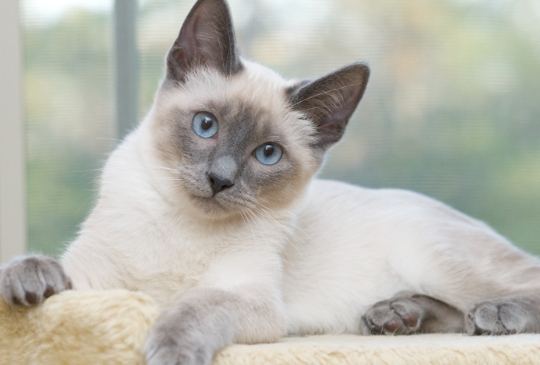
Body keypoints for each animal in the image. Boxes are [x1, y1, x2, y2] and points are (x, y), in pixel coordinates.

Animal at [1, 0, 540, 362]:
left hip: (433, 258)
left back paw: (492, 316)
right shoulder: (97, 284)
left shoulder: (252, 301)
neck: (184, 227)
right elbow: (53, 271)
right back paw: (395, 316)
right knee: (451, 311)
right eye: (205, 126)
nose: (219, 179)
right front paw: (28, 280)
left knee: (510, 286)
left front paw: (169, 350)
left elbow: (195, 307)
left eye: (267, 154)